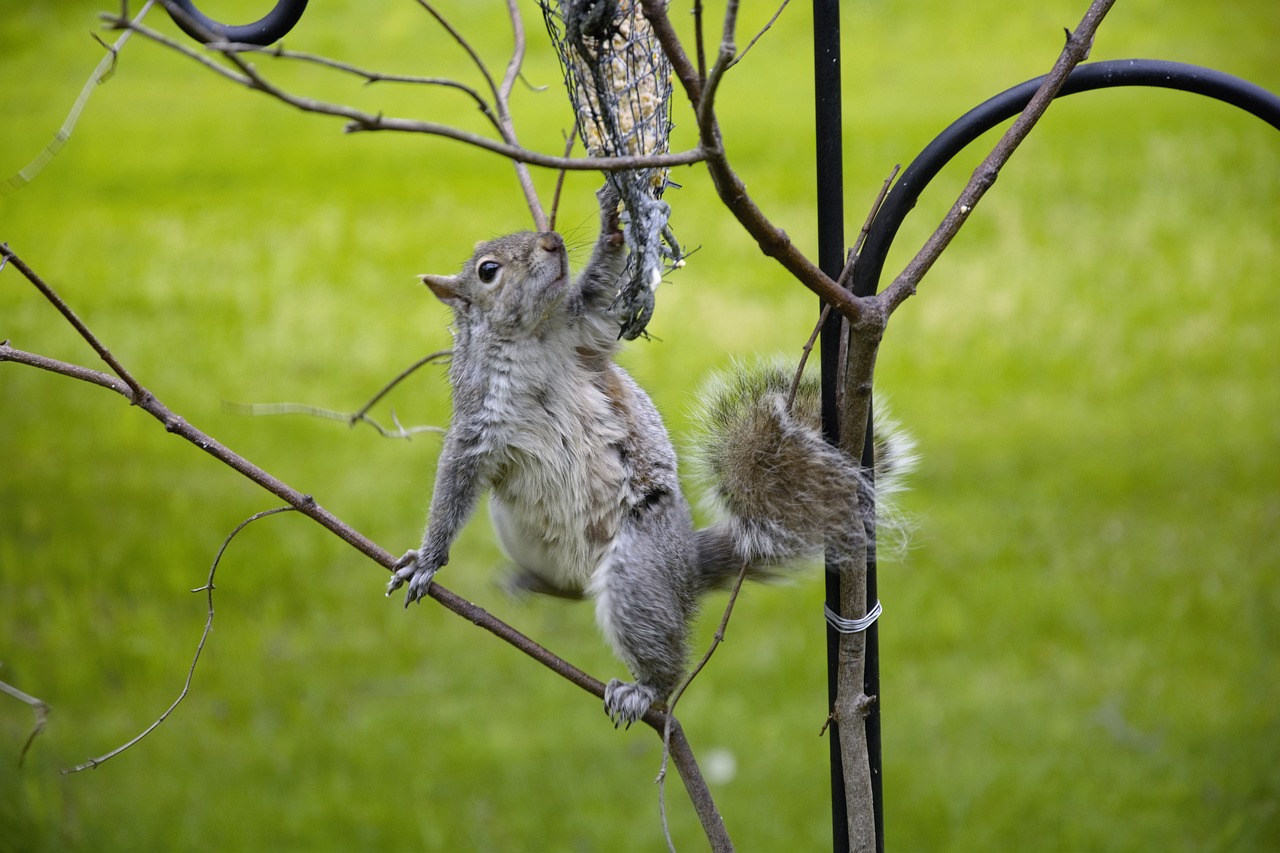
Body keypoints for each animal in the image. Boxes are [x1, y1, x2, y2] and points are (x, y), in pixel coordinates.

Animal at [384, 185, 916, 722]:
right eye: (488, 270)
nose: (553, 241)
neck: (531, 336)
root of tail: (686, 568)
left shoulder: (585, 329)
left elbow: (603, 288)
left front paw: (612, 219)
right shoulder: (477, 424)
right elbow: (454, 487)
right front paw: (427, 562)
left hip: (638, 567)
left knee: (651, 644)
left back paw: (645, 689)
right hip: (523, 533)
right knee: (571, 591)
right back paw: (533, 585)